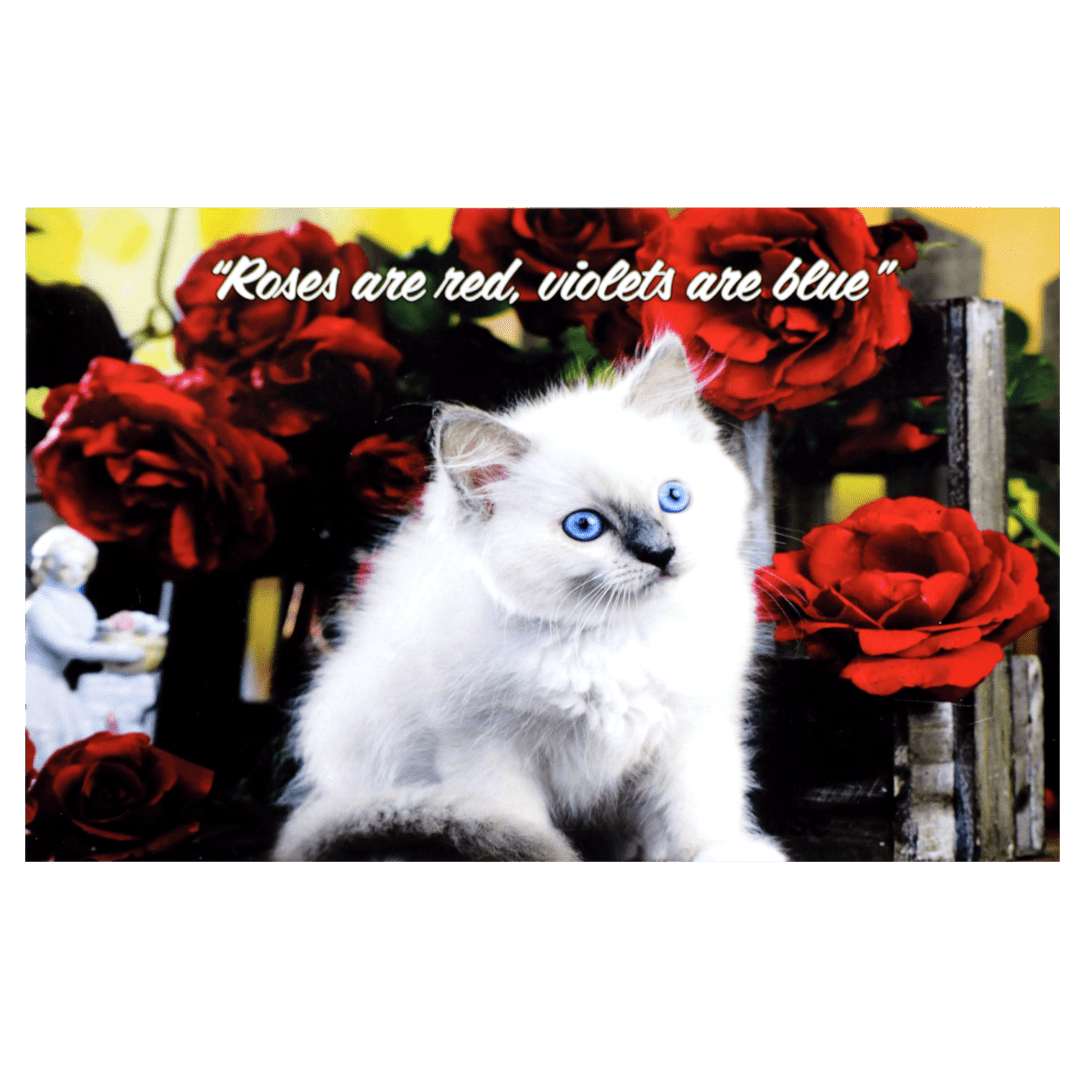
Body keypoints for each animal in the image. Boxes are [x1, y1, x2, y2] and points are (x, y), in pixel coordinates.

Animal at [276, 330, 786, 859]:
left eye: (673, 498)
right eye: (584, 527)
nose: (660, 552)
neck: (614, 636)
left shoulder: (691, 732)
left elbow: (700, 818)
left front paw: (724, 850)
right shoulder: (487, 750)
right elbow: (518, 824)